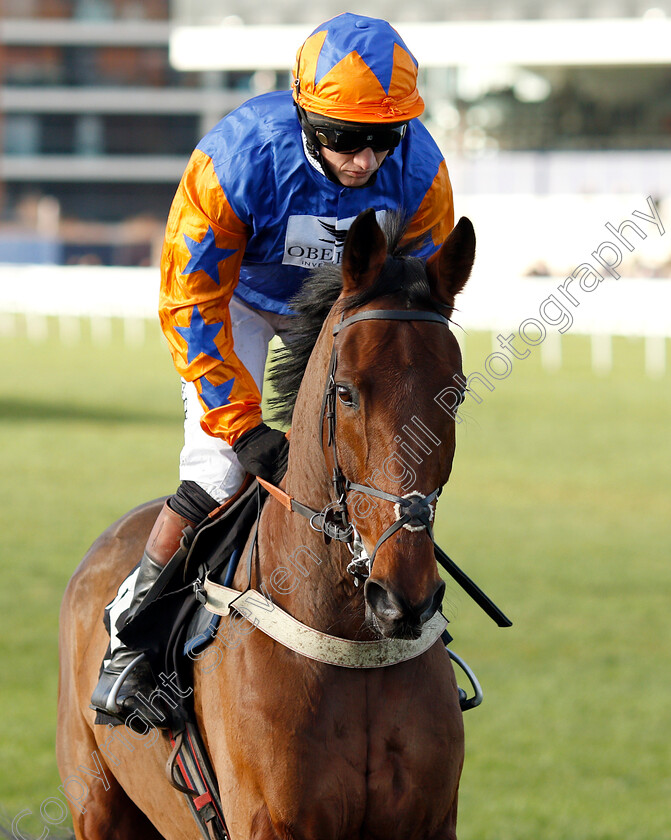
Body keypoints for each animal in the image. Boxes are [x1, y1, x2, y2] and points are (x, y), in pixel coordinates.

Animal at [57, 205, 478, 840]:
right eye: (345, 392)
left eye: (454, 395)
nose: (402, 597)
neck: (348, 641)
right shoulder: (267, 822)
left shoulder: (429, 822)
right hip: (96, 804)